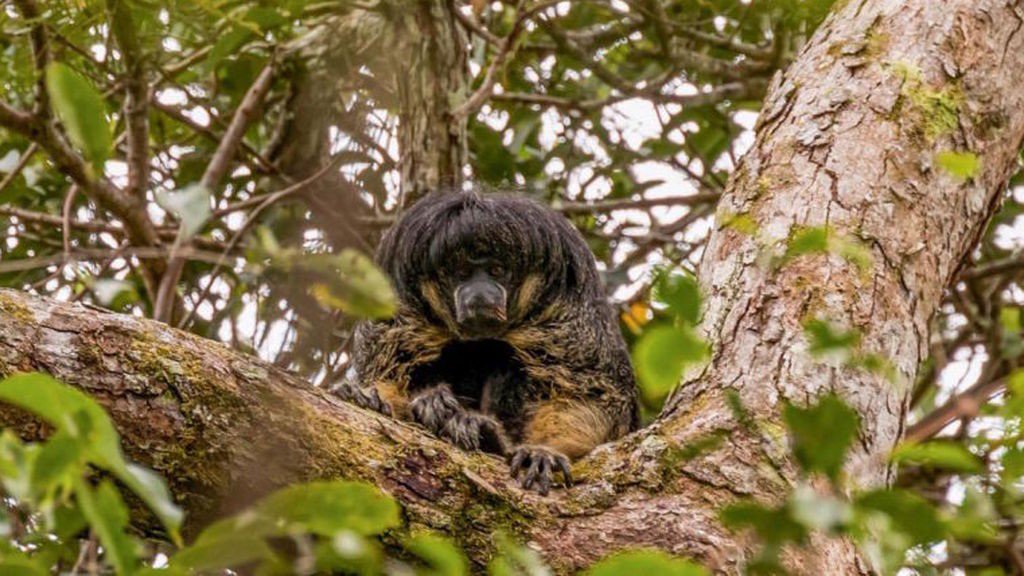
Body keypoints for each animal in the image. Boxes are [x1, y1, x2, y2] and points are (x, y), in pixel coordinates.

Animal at [333, 188, 639, 495]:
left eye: (496, 270)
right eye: (462, 273)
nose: (479, 292)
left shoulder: (568, 304)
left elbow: (592, 394)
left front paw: (543, 453)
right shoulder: (401, 300)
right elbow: (390, 373)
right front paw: (373, 398)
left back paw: (485, 434)